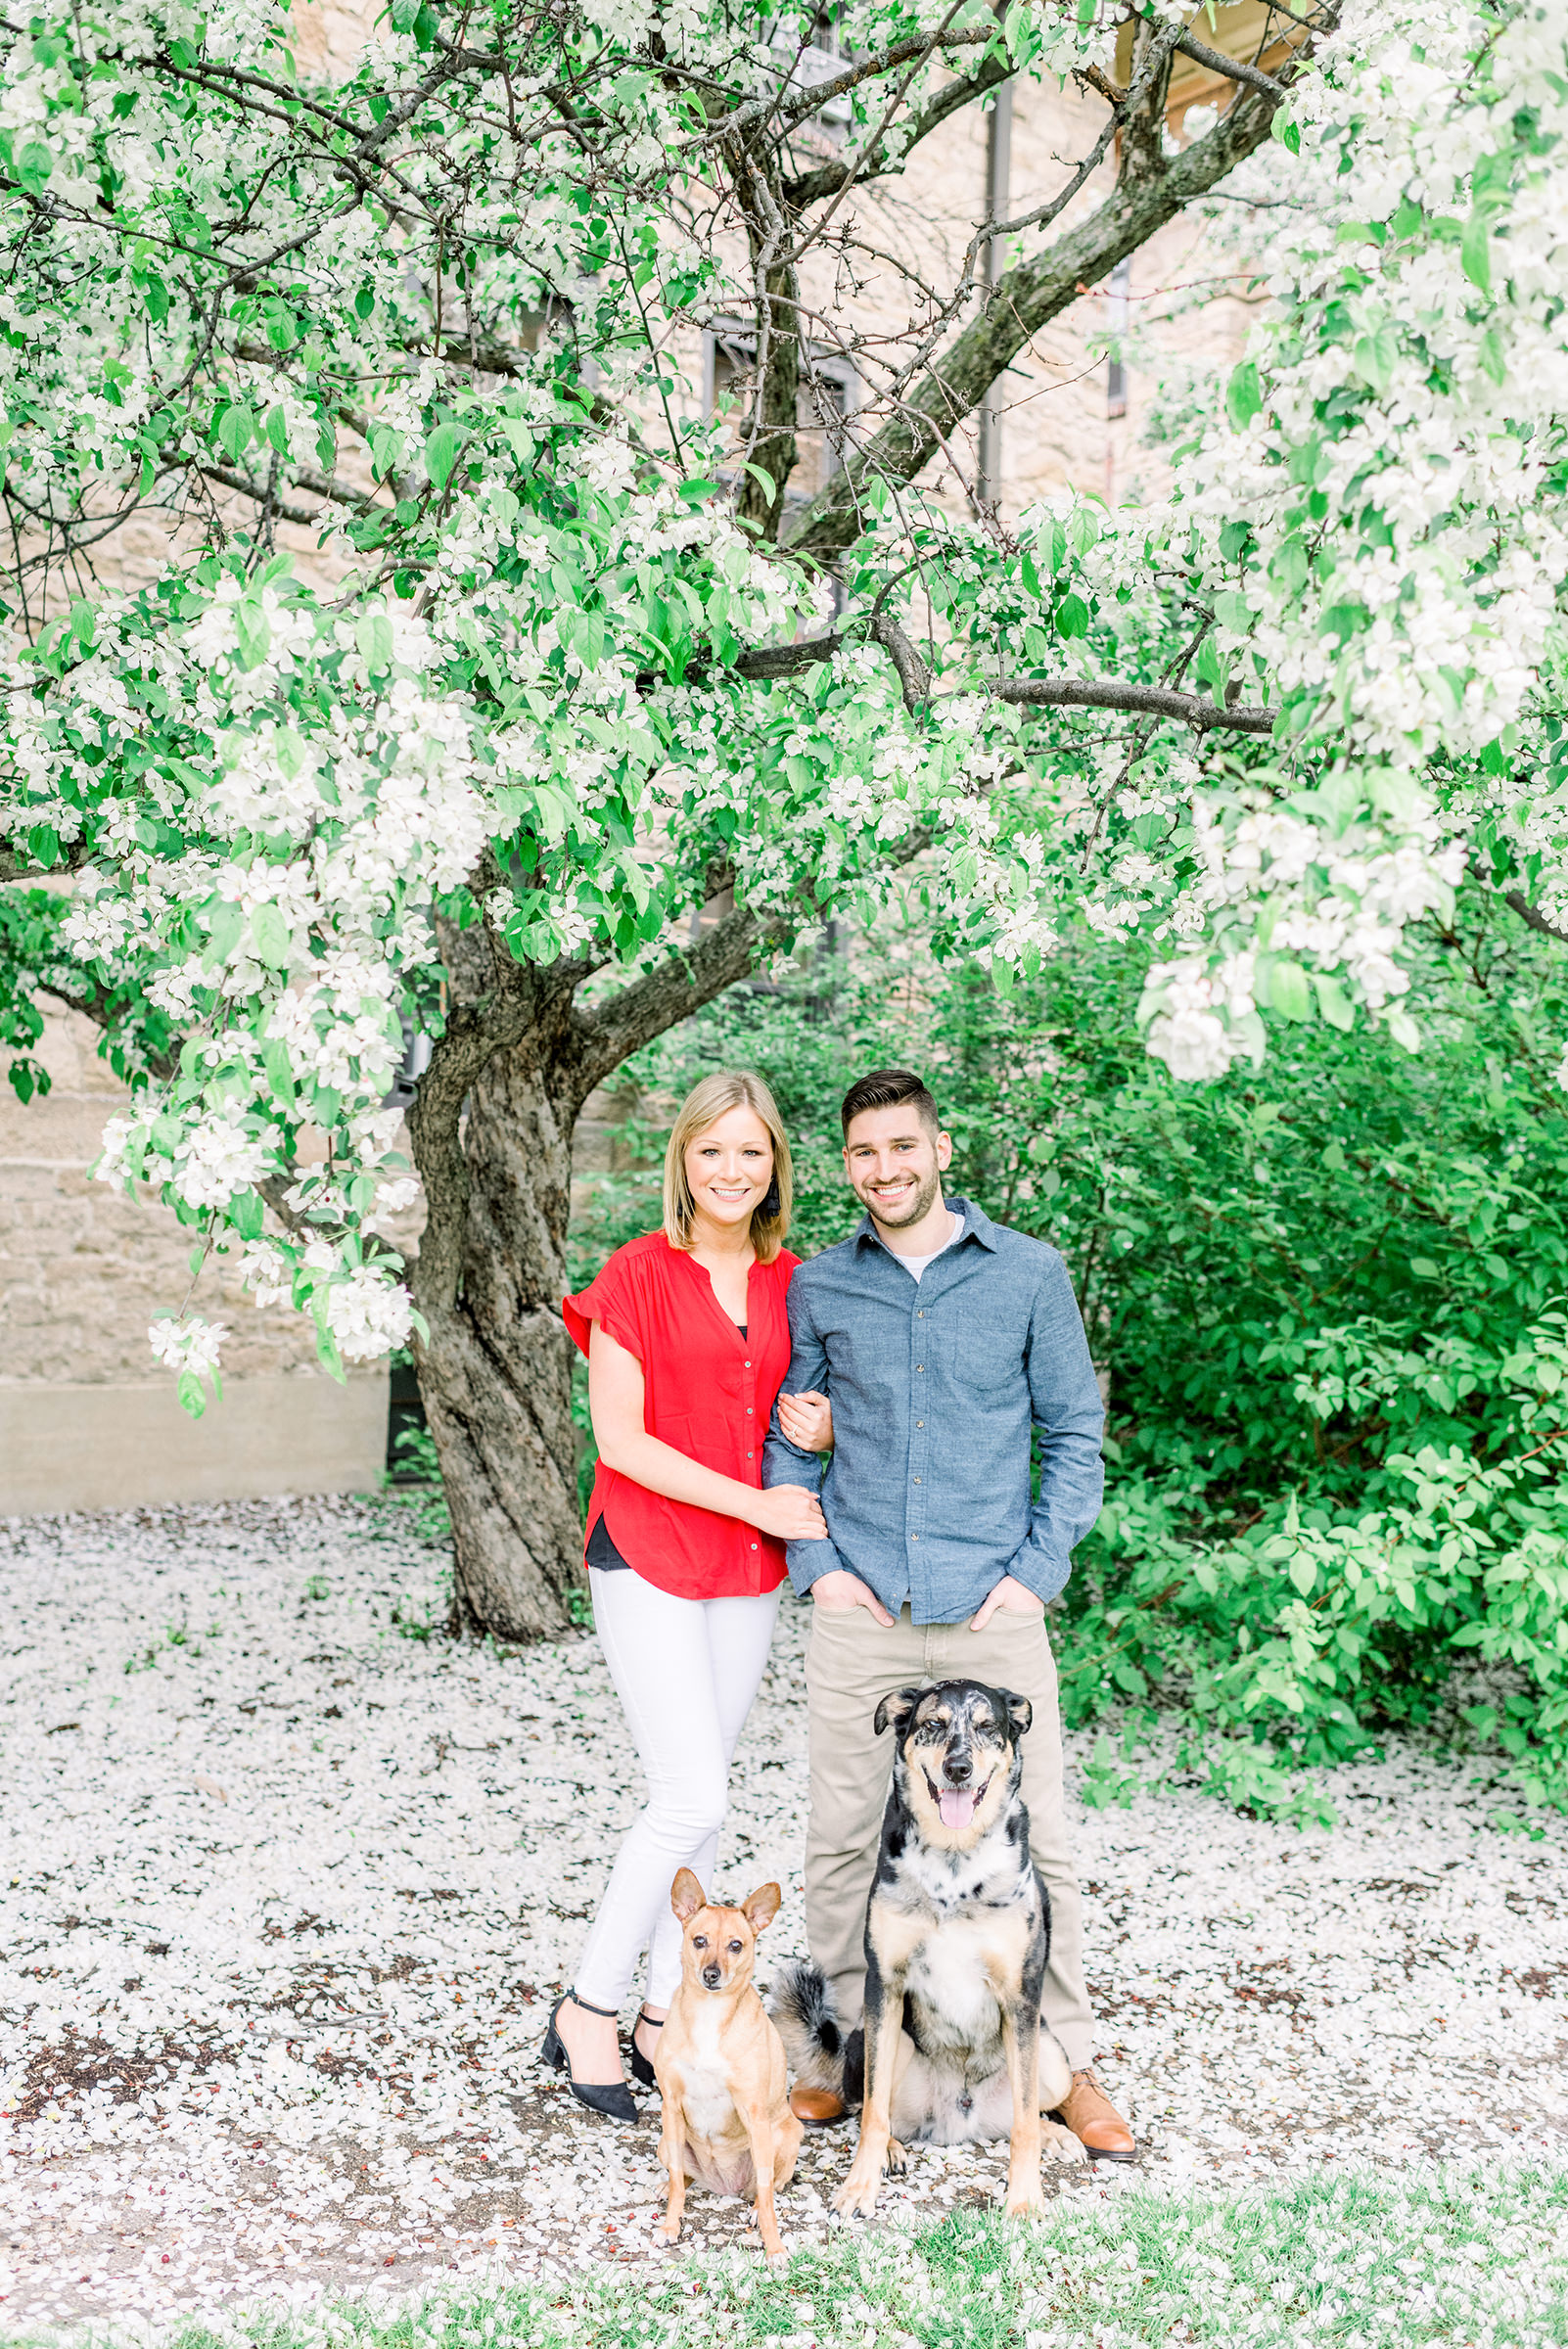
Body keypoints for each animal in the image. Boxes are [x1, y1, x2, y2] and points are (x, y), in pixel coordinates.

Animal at [647, 1869, 803, 2255]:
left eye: (736, 1945)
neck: (710, 2012)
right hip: (667, 2141)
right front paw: (670, 2225)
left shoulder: (753, 2111)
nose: (711, 1974)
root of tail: (722, 2185)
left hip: (783, 2136)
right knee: (682, 2175)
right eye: (699, 1940)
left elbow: (766, 2191)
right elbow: (677, 2182)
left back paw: (756, 2211)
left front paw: (774, 2248)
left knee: (768, 2187)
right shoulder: (671, 2104)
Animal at [769, 1681, 1080, 2208]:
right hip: (874, 2037)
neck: (954, 1861)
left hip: (1053, 2056)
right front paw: (860, 2186)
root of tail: (960, 2121)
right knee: (870, 2106)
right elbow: (874, 2110)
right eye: (933, 1724)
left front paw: (1023, 2198)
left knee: (1028, 2110)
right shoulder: (885, 1985)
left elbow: (1024, 2123)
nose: (959, 1768)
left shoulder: (1021, 1996)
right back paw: (892, 2149)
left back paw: (1057, 2134)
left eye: (987, 1727)